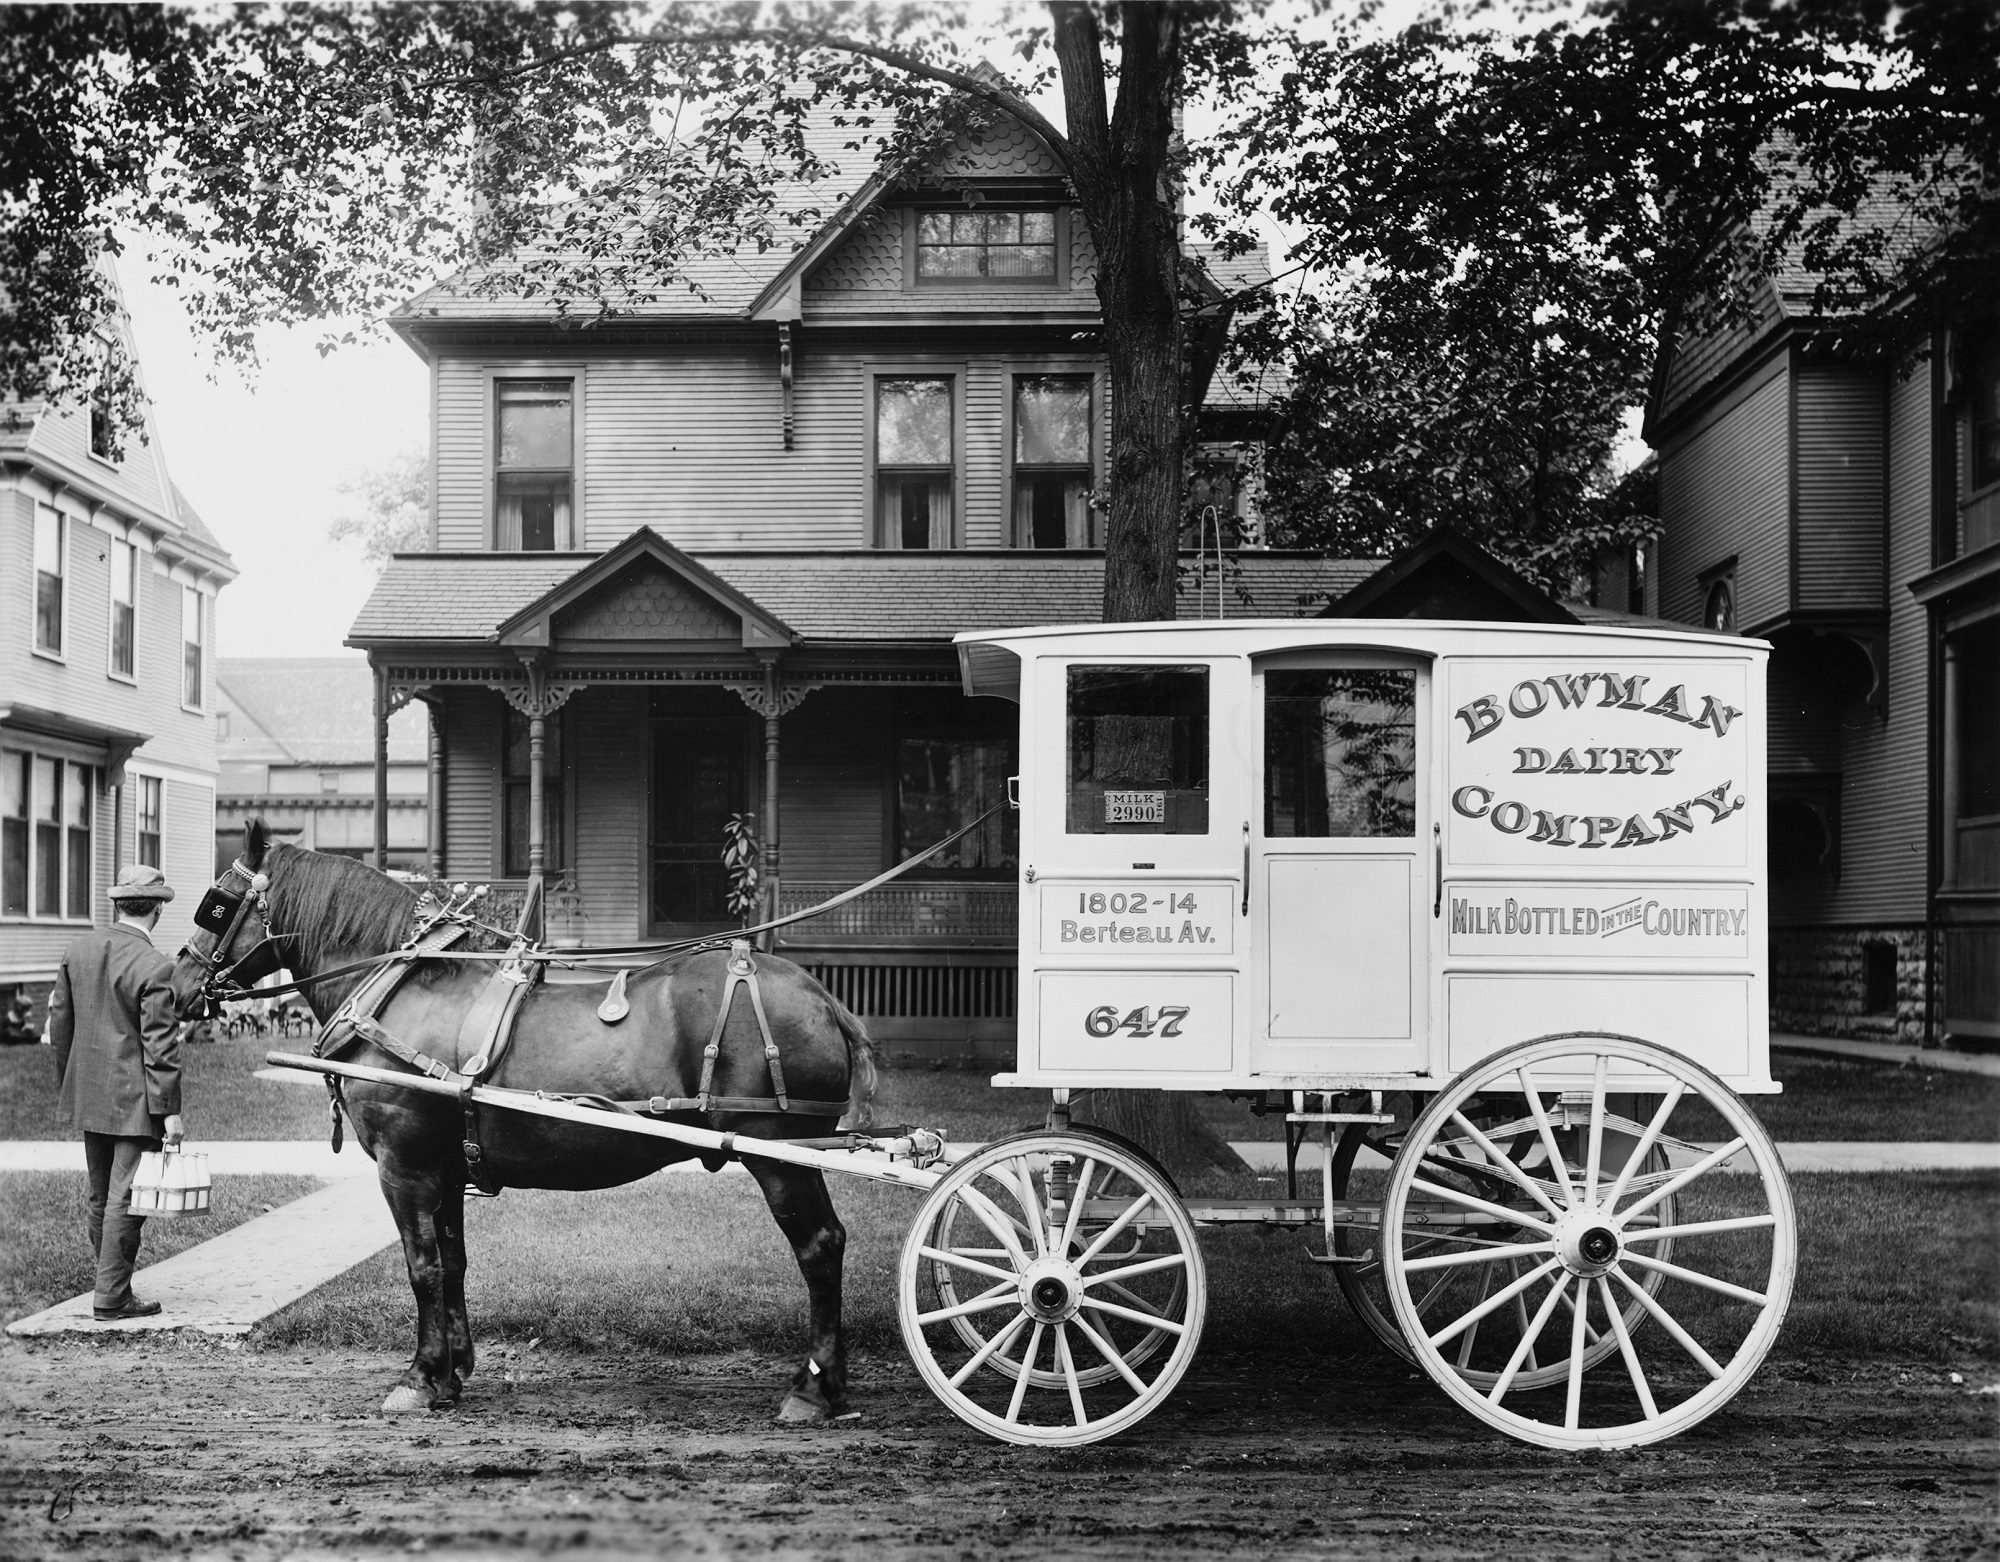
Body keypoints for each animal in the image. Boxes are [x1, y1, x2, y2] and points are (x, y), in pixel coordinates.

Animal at [176, 824, 880, 1416]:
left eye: (216, 904)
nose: (179, 985)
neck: (403, 989)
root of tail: (821, 995)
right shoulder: (444, 1167)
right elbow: (452, 1262)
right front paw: (453, 1372)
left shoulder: (405, 1167)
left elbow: (421, 1266)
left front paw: (419, 1377)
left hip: (777, 1155)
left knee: (820, 1247)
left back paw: (813, 1388)